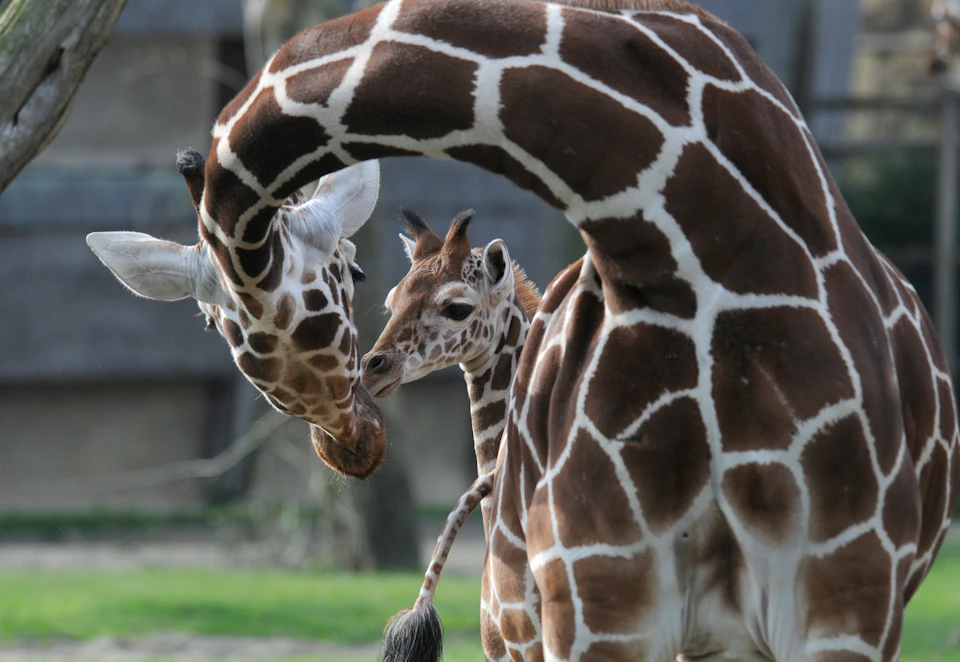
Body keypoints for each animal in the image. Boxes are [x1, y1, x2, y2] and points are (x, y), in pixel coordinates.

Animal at [88, 0, 959, 659]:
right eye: (211, 319)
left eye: (356, 277)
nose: (354, 442)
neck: (692, 244)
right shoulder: (599, 599)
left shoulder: (842, 598)